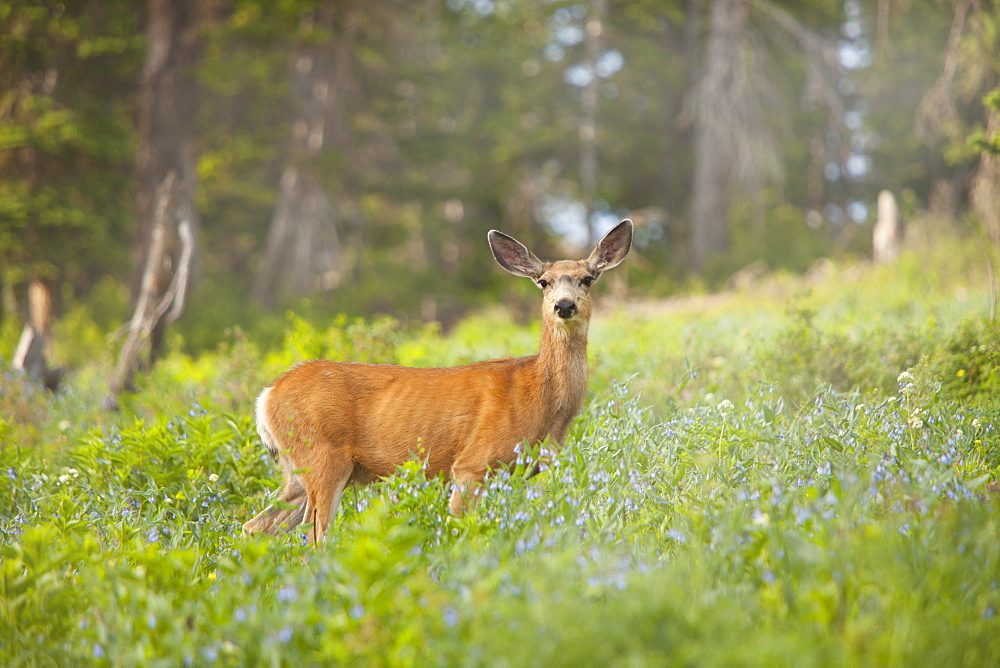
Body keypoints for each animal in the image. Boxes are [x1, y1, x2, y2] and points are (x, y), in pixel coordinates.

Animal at [242, 219, 632, 544]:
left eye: (588, 278)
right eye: (543, 281)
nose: (564, 305)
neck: (539, 395)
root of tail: (266, 396)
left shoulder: (519, 473)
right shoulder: (472, 464)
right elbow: (462, 529)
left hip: (296, 473)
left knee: (255, 525)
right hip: (322, 457)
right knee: (314, 538)